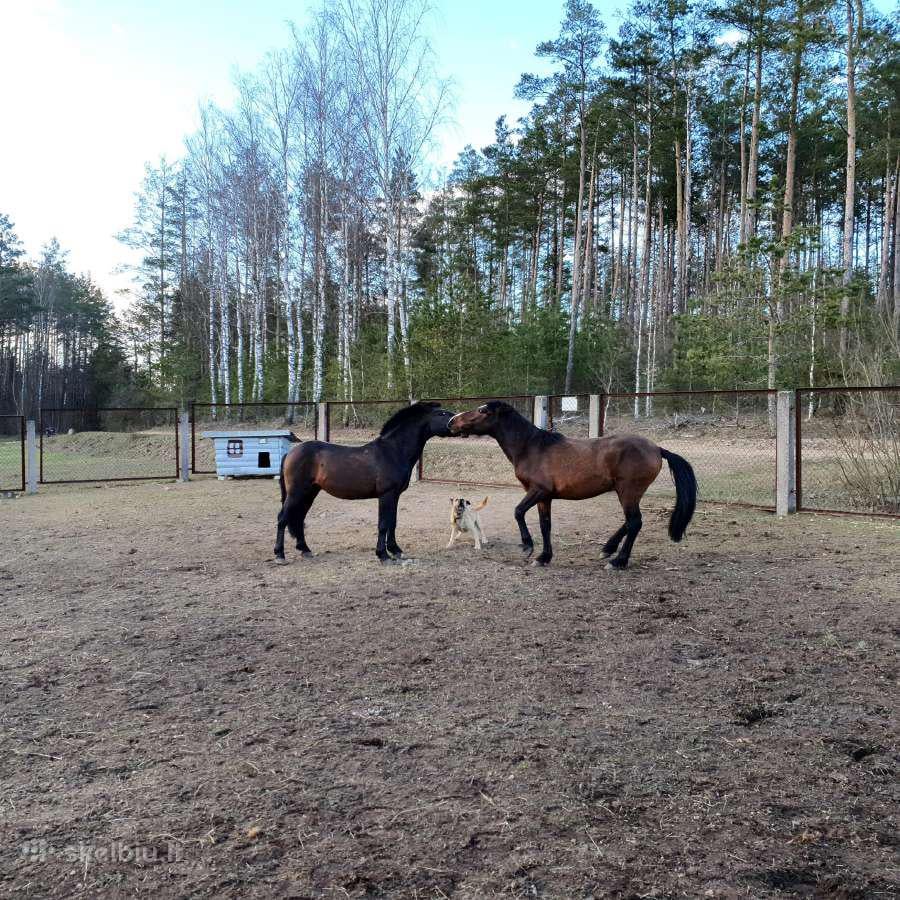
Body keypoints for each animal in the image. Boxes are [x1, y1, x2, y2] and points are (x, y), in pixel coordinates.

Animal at [275, 401, 456, 564]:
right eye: (442, 414)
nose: (457, 420)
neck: (393, 451)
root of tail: (290, 452)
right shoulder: (386, 495)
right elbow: (383, 524)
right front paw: (383, 555)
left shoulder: (395, 495)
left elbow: (393, 522)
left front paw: (396, 551)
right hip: (297, 492)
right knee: (283, 518)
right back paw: (280, 555)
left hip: (310, 492)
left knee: (298, 518)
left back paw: (305, 550)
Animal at [448, 400, 697, 569]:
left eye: (483, 411)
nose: (452, 422)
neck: (532, 447)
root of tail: (657, 449)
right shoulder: (544, 497)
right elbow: (545, 525)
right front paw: (543, 557)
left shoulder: (538, 491)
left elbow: (518, 512)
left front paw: (528, 547)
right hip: (627, 493)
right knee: (630, 522)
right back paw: (607, 549)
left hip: (628, 492)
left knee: (635, 522)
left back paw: (618, 561)